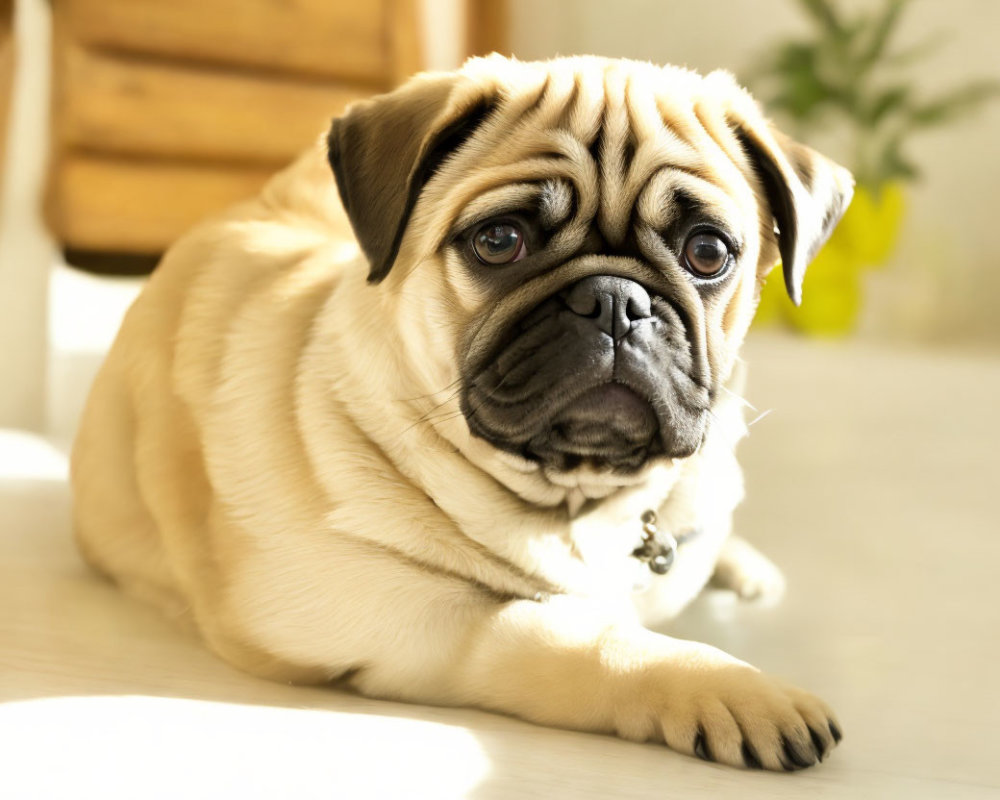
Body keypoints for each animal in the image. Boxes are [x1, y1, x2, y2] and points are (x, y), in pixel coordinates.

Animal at [72, 54, 852, 768]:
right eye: (499, 241)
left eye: (708, 253)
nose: (614, 300)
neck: (578, 505)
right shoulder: (405, 617)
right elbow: (581, 637)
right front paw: (729, 688)